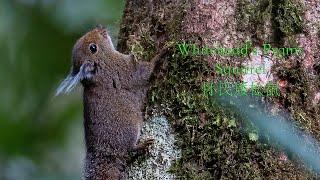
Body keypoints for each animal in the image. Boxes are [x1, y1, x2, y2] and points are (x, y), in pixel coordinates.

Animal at [56, 25, 169, 180]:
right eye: (93, 48)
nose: (101, 28)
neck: (102, 65)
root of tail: (107, 153)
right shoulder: (124, 68)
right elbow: (144, 71)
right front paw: (162, 52)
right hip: (129, 130)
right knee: (129, 149)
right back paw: (143, 144)